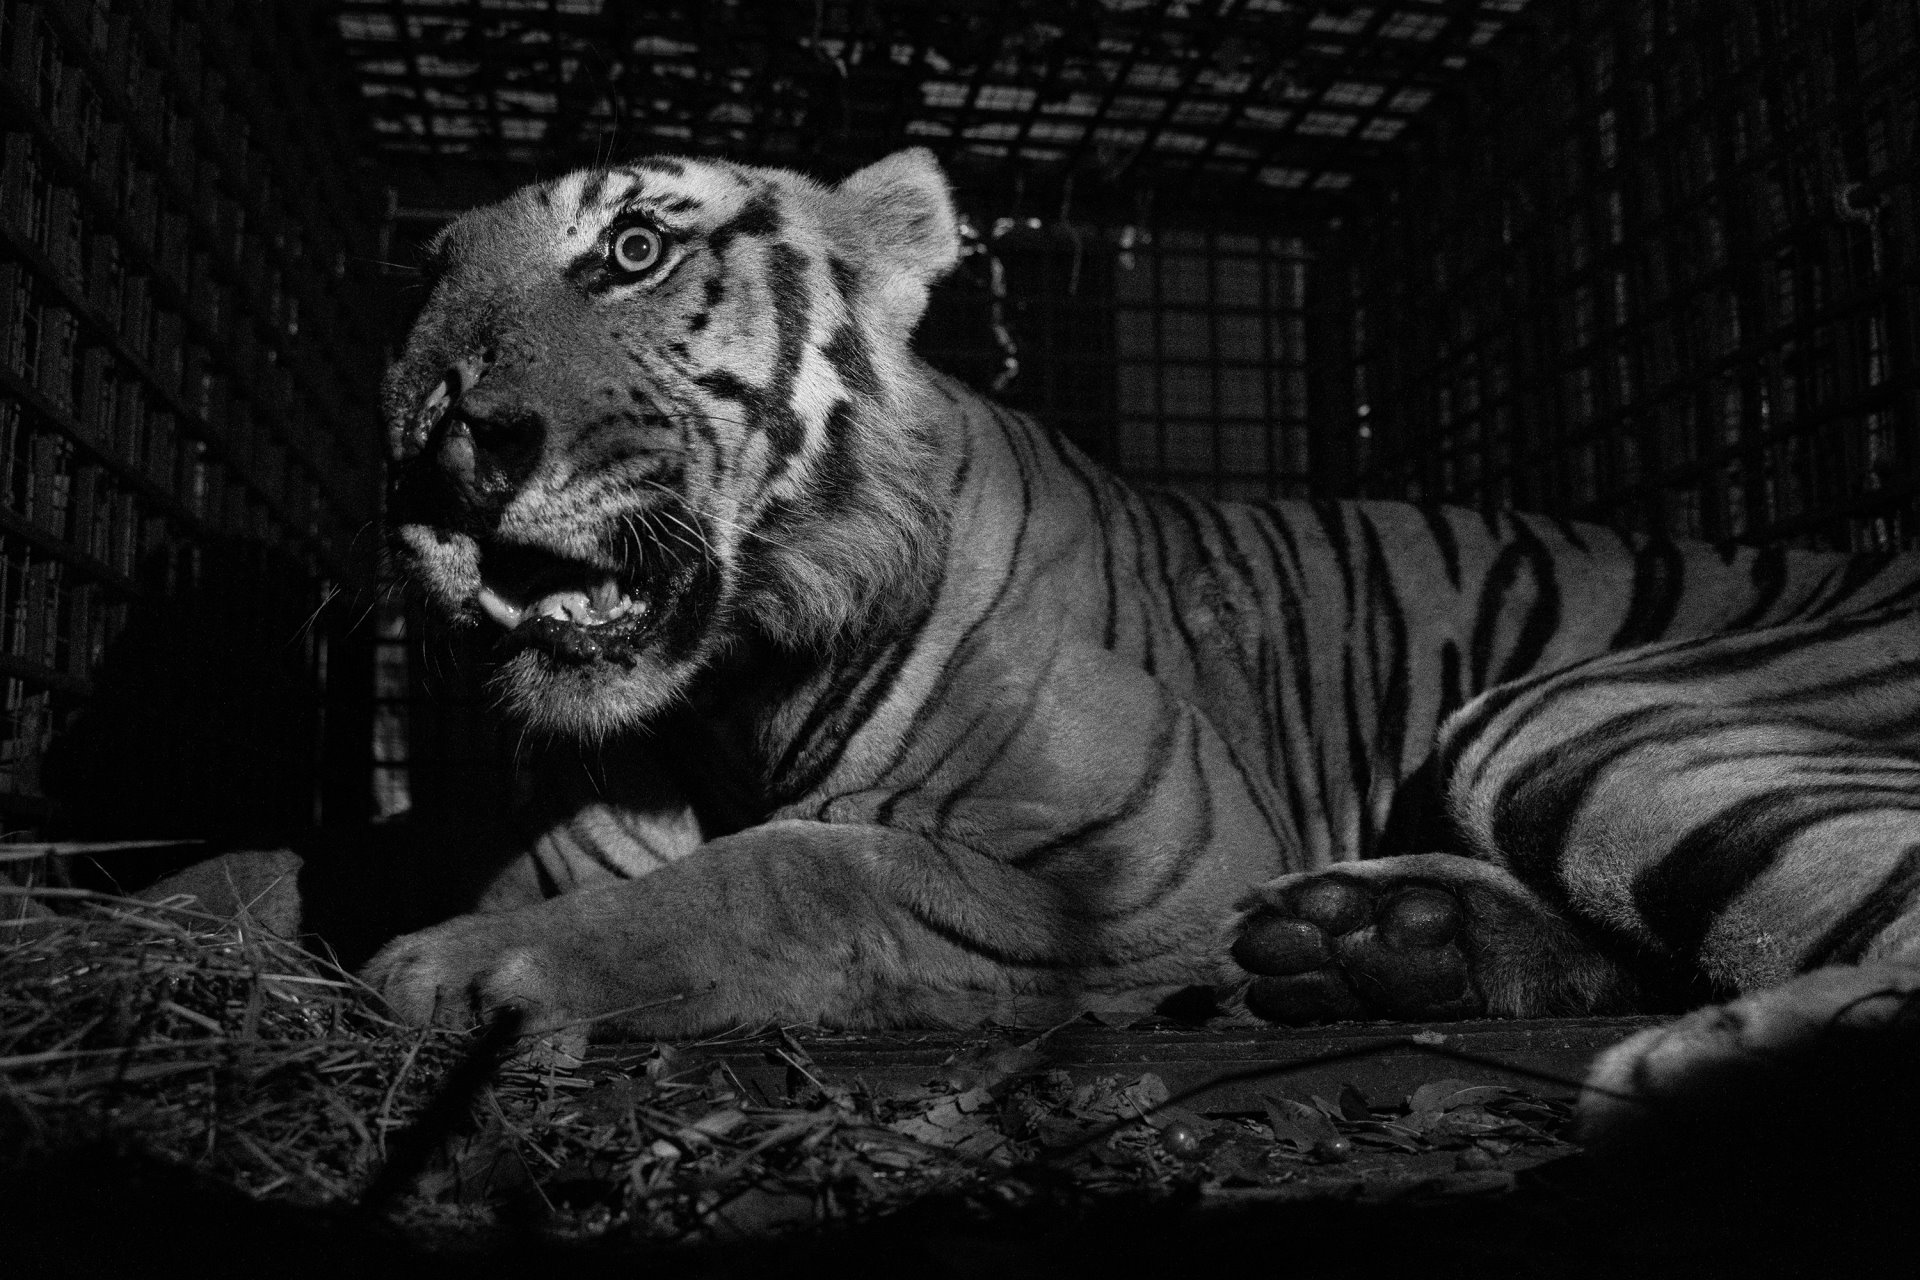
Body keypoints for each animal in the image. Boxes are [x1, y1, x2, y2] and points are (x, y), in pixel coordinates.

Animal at [362, 152, 1920, 1128]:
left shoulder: (1141, 865)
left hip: (1569, 713)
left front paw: (464, 972)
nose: (435, 454)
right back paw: (1384, 940)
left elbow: (804, 872)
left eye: (634, 248)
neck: (730, 693)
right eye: (423, 289)